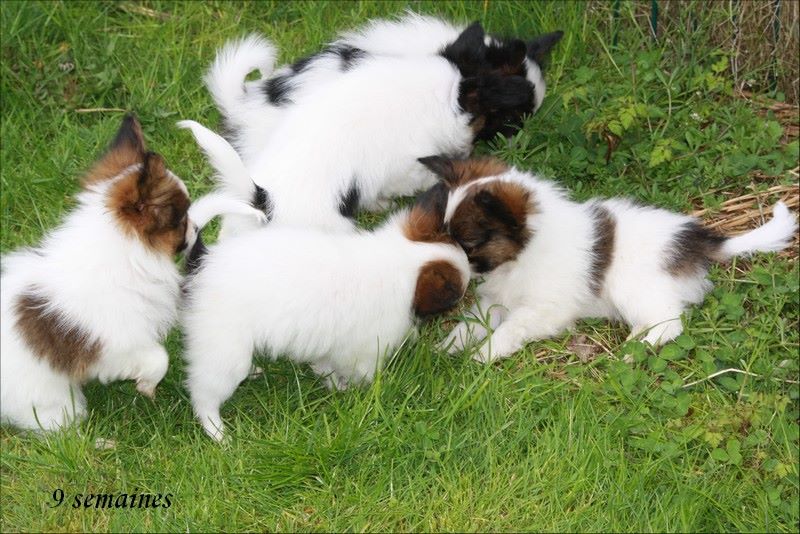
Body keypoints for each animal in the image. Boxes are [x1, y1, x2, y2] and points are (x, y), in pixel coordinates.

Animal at [0, 114, 266, 432]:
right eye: (180, 219)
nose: (194, 228)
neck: (127, 255)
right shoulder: (114, 346)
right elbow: (158, 358)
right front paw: (148, 386)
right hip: (53, 401)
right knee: (60, 429)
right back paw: (98, 440)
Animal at [180, 132, 468, 442]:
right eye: (454, 296)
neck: (404, 261)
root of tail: (204, 260)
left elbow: (324, 364)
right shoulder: (364, 350)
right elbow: (361, 373)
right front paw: (357, 390)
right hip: (226, 351)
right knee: (204, 394)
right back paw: (217, 432)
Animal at [422, 155, 796, 364]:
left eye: (468, 245)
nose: (454, 271)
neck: (519, 257)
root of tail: (697, 240)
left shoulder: (543, 310)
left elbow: (509, 329)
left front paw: (482, 355)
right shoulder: (494, 301)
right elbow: (469, 325)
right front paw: (446, 347)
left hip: (629, 285)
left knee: (670, 322)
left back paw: (635, 350)